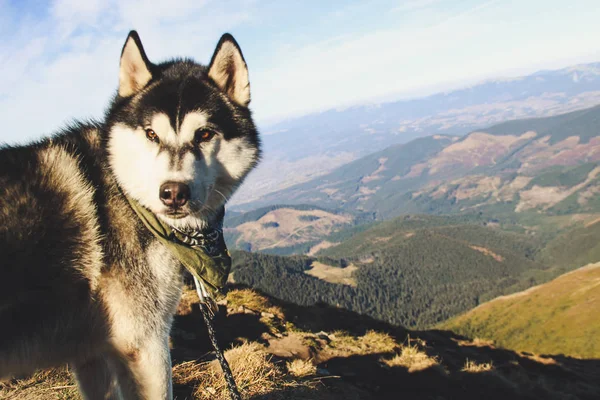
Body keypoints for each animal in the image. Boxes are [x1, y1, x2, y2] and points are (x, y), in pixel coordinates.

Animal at [0, 29, 260, 398]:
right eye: (151, 134)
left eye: (205, 134)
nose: (173, 193)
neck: (128, 196)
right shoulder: (145, 344)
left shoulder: (91, 354)